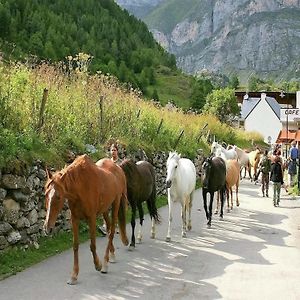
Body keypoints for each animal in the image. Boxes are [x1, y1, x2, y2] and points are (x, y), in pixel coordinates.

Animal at [44, 155, 128, 284]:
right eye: (45, 194)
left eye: (58, 197)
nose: (48, 228)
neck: (80, 187)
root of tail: (118, 168)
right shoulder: (74, 219)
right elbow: (75, 245)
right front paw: (74, 275)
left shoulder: (91, 218)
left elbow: (92, 245)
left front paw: (98, 265)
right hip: (104, 209)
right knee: (109, 229)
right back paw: (112, 255)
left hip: (116, 203)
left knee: (112, 231)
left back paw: (105, 264)